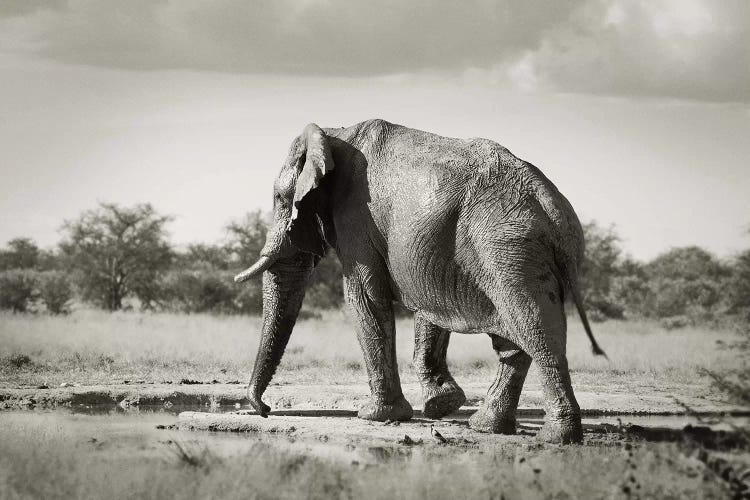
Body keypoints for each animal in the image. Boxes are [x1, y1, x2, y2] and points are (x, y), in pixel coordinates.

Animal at [235, 119, 604, 444]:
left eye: (281, 200)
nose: (264, 409)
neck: (335, 133)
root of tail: (551, 204)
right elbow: (431, 302)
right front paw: (441, 404)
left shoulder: (357, 217)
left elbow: (364, 298)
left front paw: (376, 416)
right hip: (517, 253)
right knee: (515, 338)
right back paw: (487, 427)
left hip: (509, 247)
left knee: (535, 327)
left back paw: (557, 437)